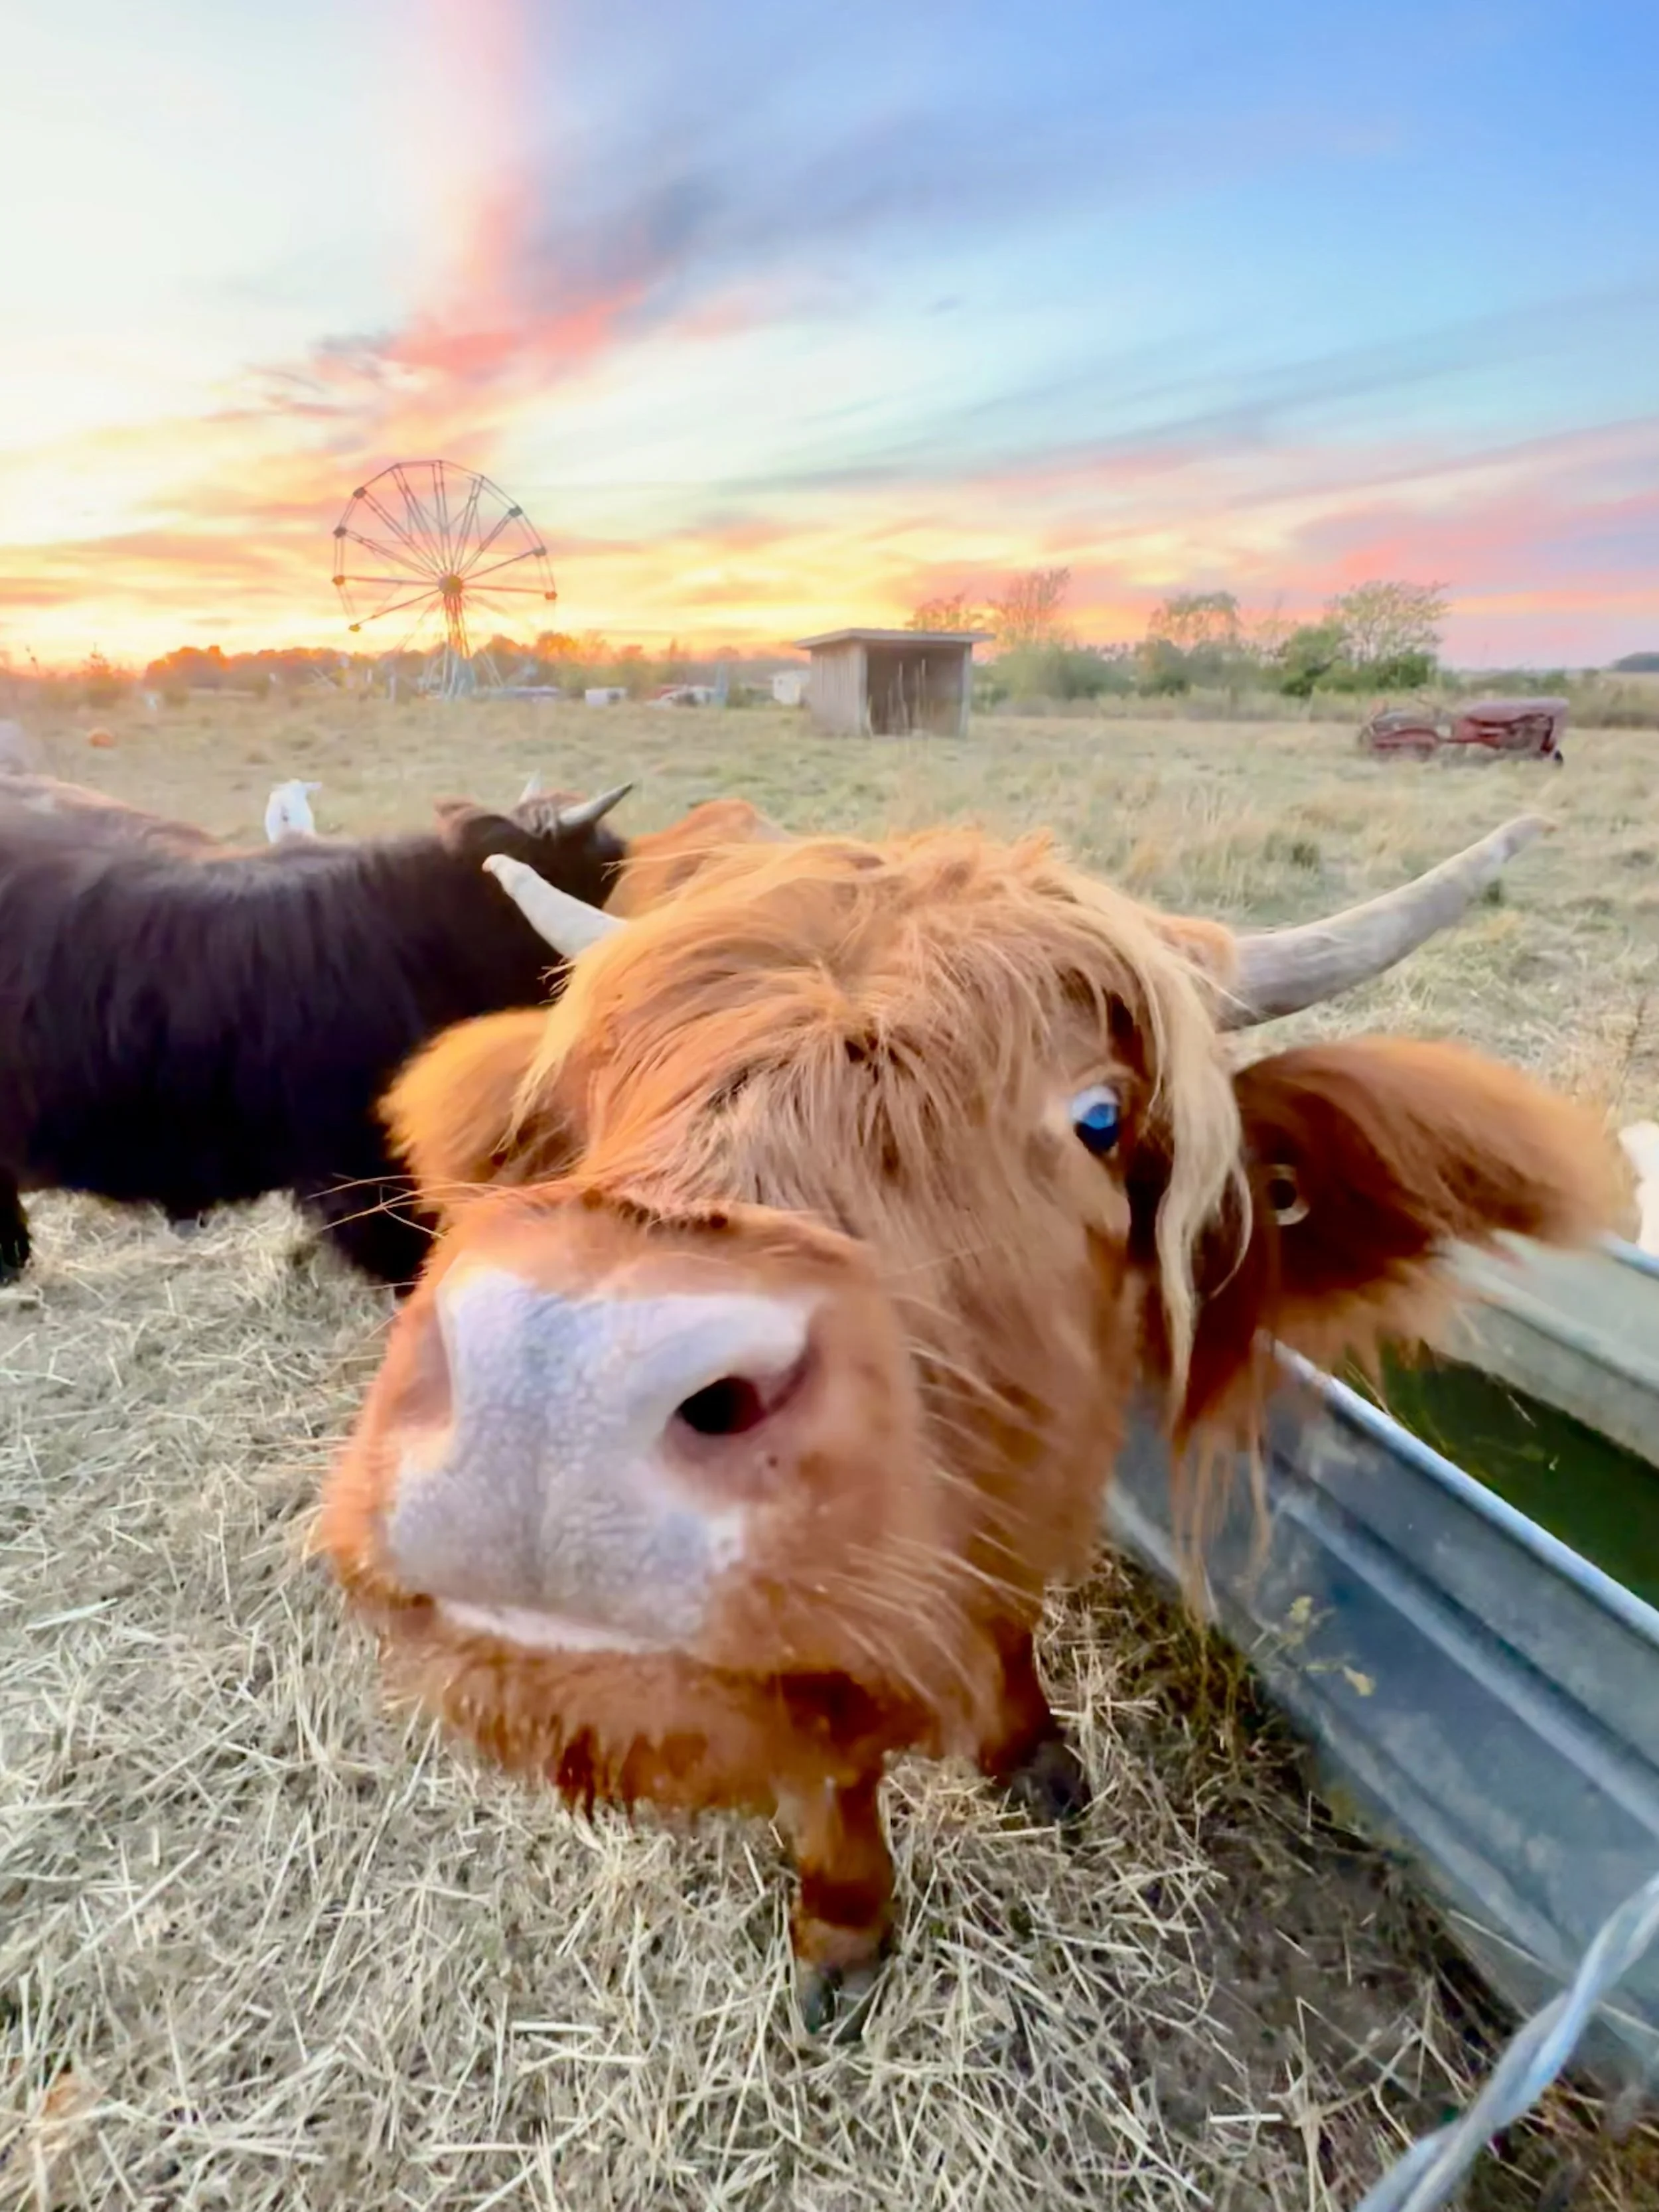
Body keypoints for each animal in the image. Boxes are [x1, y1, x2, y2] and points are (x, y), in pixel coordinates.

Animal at [315, 812, 1619, 2032]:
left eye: (1098, 1119)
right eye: (601, 1090)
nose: (554, 1383)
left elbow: (1006, 1618)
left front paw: (1029, 1752)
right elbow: (828, 1761)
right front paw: (845, 1924)